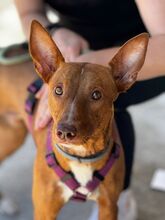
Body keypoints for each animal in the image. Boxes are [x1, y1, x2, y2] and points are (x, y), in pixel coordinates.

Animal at [0, 19, 148, 219]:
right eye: (58, 90)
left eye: (96, 95)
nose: (64, 132)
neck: (81, 157)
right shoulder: (44, 210)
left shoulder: (109, 207)